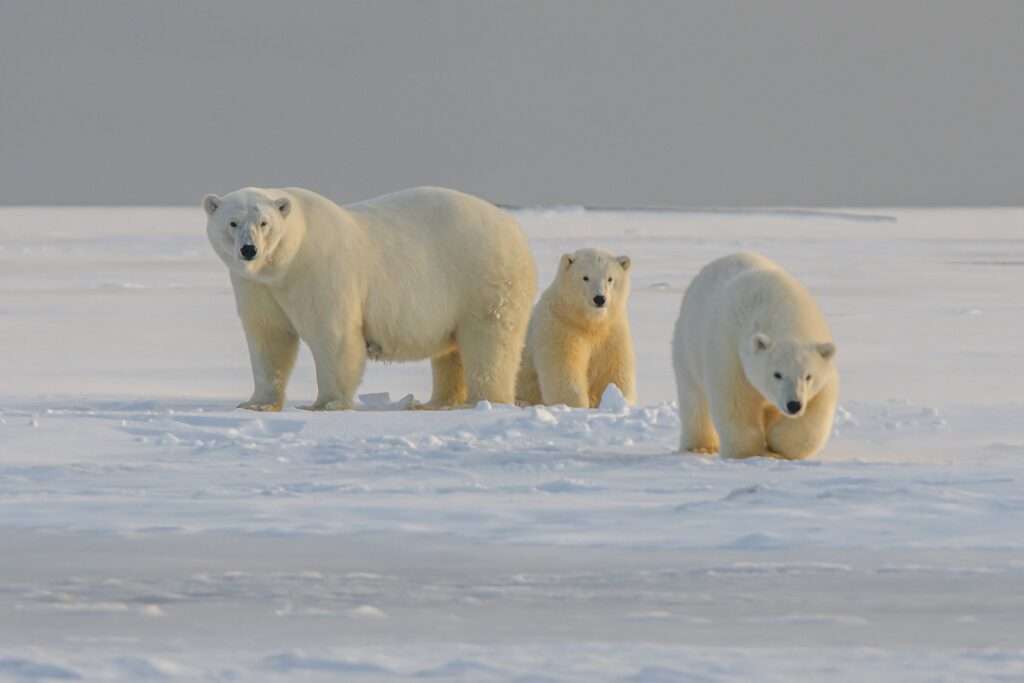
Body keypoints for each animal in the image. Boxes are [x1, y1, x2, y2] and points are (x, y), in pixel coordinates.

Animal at [202, 186, 537, 411]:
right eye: (232, 222)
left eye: (264, 223)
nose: (249, 250)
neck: (287, 261)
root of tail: (514, 228)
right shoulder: (257, 286)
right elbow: (268, 337)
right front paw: (256, 403)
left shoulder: (320, 271)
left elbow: (333, 335)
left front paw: (326, 403)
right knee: (451, 352)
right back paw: (437, 402)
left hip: (482, 278)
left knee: (489, 342)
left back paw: (484, 401)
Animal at [516, 248, 636, 408]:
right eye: (585, 277)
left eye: (610, 279)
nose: (599, 298)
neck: (588, 322)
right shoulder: (561, 327)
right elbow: (565, 370)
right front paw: (577, 406)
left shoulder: (612, 331)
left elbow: (613, 370)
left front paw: (620, 400)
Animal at [671, 252, 838, 460]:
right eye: (777, 374)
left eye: (808, 376)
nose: (794, 405)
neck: (782, 310)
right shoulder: (731, 353)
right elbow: (736, 403)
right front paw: (749, 452)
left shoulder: (823, 370)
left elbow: (816, 411)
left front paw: (776, 443)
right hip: (687, 346)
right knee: (693, 398)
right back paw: (700, 447)